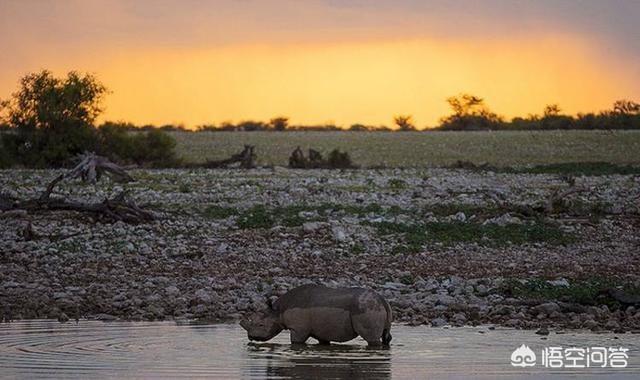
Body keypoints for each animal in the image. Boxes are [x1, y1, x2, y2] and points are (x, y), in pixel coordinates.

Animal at [239, 284, 390, 346]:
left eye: (260, 325)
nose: (250, 337)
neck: (278, 311)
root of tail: (381, 298)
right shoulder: (321, 331)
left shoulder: (298, 329)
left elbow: (296, 342)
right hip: (375, 306)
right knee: (385, 335)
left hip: (365, 307)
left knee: (371, 339)